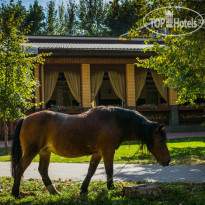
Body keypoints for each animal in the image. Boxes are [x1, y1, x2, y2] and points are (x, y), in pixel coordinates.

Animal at [11, 105, 170, 197]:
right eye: (161, 140)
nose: (167, 160)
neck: (115, 120)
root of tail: (25, 119)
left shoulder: (97, 153)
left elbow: (91, 171)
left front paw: (84, 189)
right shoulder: (107, 151)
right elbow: (109, 170)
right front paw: (111, 188)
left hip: (45, 152)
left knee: (43, 170)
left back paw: (54, 192)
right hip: (31, 151)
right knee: (19, 169)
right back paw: (15, 194)